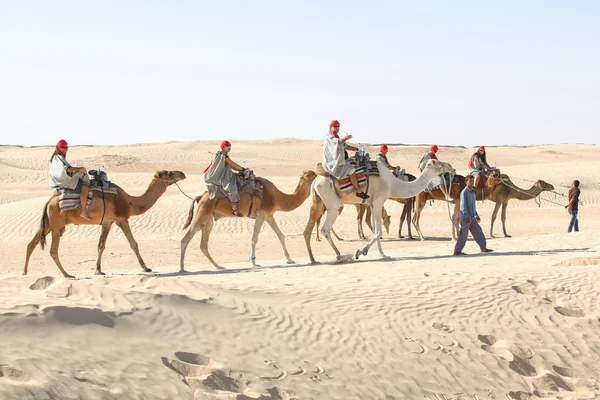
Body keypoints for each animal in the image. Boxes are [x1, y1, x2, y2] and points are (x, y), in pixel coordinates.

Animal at [24, 170, 186, 278]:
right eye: (170, 173)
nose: (183, 174)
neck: (130, 202)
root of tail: (49, 201)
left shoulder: (107, 223)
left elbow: (101, 245)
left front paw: (98, 270)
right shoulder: (122, 219)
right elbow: (133, 244)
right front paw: (146, 268)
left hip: (49, 223)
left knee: (32, 243)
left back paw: (24, 272)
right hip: (57, 225)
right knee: (53, 250)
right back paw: (67, 274)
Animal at [179, 170, 316, 270]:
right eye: (313, 174)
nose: (319, 176)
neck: (276, 197)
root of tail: (201, 196)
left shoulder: (269, 216)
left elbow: (281, 235)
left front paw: (289, 259)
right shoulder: (261, 215)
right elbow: (254, 239)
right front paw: (253, 262)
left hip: (208, 220)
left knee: (203, 244)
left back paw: (218, 266)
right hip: (202, 215)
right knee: (185, 239)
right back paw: (182, 268)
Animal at [302, 158, 452, 264]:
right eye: (437, 162)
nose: (450, 166)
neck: (393, 183)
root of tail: (315, 182)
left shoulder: (373, 204)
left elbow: (376, 230)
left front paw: (383, 254)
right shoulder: (379, 201)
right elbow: (378, 231)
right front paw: (359, 252)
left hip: (318, 202)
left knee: (308, 229)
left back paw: (314, 259)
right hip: (334, 204)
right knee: (325, 229)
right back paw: (341, 255)